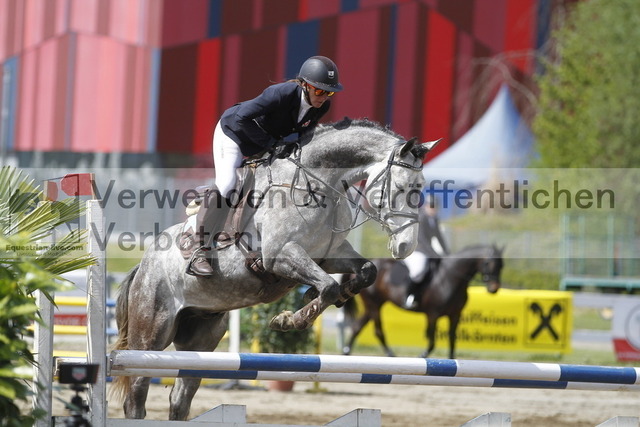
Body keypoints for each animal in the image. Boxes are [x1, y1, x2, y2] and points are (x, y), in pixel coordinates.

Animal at [111, 118, 438, 420]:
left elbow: (365, 272)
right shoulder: (280, 255)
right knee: (136, 396)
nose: (406, 246)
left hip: (200, 339)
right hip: (150, 334)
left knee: (180, 398)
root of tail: (142, 268)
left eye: (420, 189)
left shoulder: (330, 255)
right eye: (401, 188)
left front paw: (326, 297)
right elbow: (328, 286)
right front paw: (288, 320)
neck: (317, 185)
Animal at [341, 244, 503, 359]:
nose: (494, 289)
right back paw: (391, 355)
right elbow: (431, 340)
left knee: (357, 327)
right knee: (378, 331)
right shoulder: (433, 314)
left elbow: (452, 338)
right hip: (374, 304)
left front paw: (451, 359)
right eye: (488, 263)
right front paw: (423, 355)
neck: (450, 279)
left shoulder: (455, 315)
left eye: (501, 265)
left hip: (373, 305)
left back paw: (346, 352)